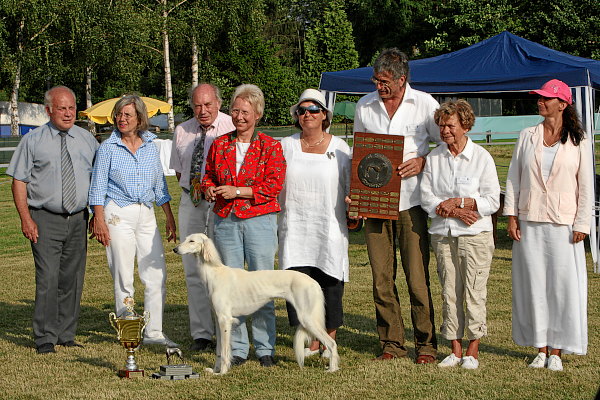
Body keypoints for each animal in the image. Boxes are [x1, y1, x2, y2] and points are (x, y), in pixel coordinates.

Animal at [173, 231, 340, 376]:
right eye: (185, 238)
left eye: (192, 241)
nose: (175, 249)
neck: (214, 272)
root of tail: (314, 282)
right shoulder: (219, 319)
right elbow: (219, 350)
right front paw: (214, 370)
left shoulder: (225, 320)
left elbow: (225, 351)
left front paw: (222, 373)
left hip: (307, 318)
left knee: (331, 343)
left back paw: (332, 369)